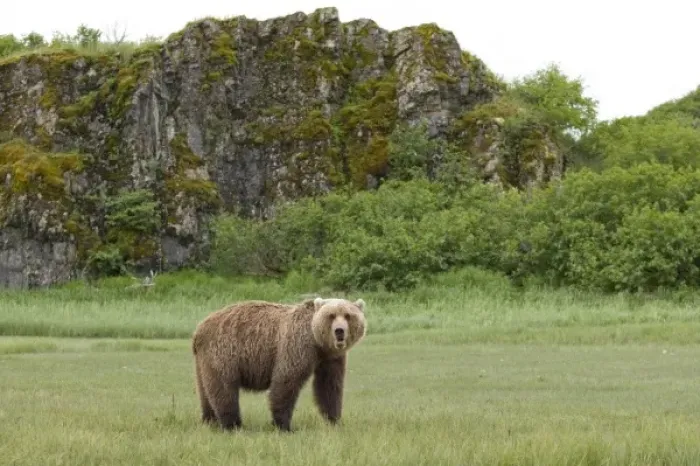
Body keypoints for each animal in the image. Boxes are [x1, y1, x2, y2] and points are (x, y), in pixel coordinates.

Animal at [191, 296, 367, 432]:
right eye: (331, 315)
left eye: (348, 315)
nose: (339, 331)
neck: (318, 343)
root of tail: (198, 329)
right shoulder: (296, 346)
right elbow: (286, 381)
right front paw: (284, 425)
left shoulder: (331, 359)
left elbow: (329, 387)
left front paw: (334, 420)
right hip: (224, 352)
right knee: (224, 389)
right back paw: (232, 424)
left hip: (202, 362)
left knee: (205, 390)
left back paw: (209, 420)